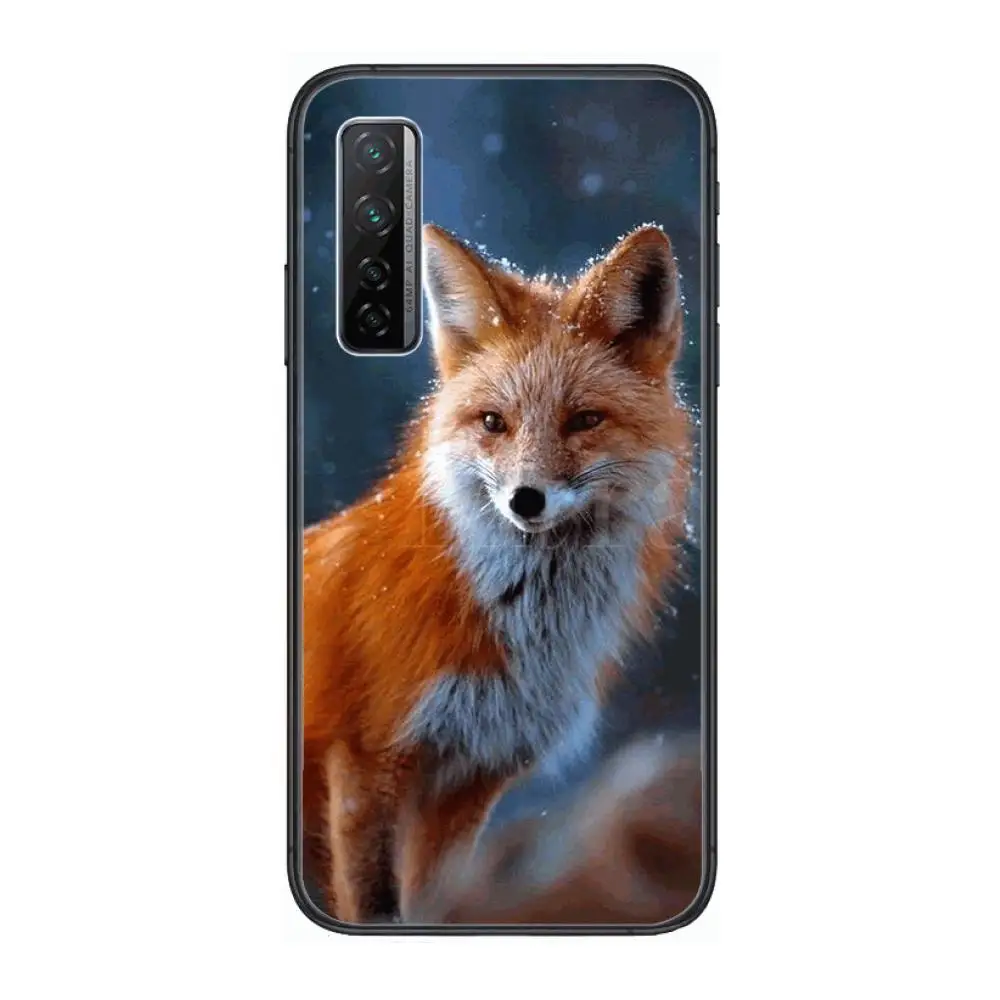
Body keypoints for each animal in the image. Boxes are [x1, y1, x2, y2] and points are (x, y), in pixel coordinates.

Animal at [302, 222, 692, 923]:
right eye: (493, 423)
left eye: (584, 420)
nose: (525, 500)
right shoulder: (367, 763)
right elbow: (377, 908)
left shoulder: (472, 780)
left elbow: (436, 907)